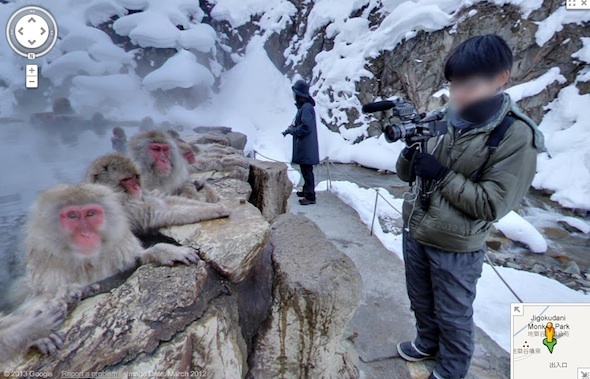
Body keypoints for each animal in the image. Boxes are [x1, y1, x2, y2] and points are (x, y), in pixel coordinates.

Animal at [19, 184, 201, 302]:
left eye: (91, 214)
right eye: (72, 216)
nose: (85, 234)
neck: (87, 262)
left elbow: (133, 263)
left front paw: (165, 252)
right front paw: (67, 293)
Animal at [85, 154, 231, 236]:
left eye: (134, 177)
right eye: (126, 180)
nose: (136, 187)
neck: (120, 194)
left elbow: (164, 201)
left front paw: (210, 206)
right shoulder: (124, 207)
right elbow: (158, 213)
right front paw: (215, 210)